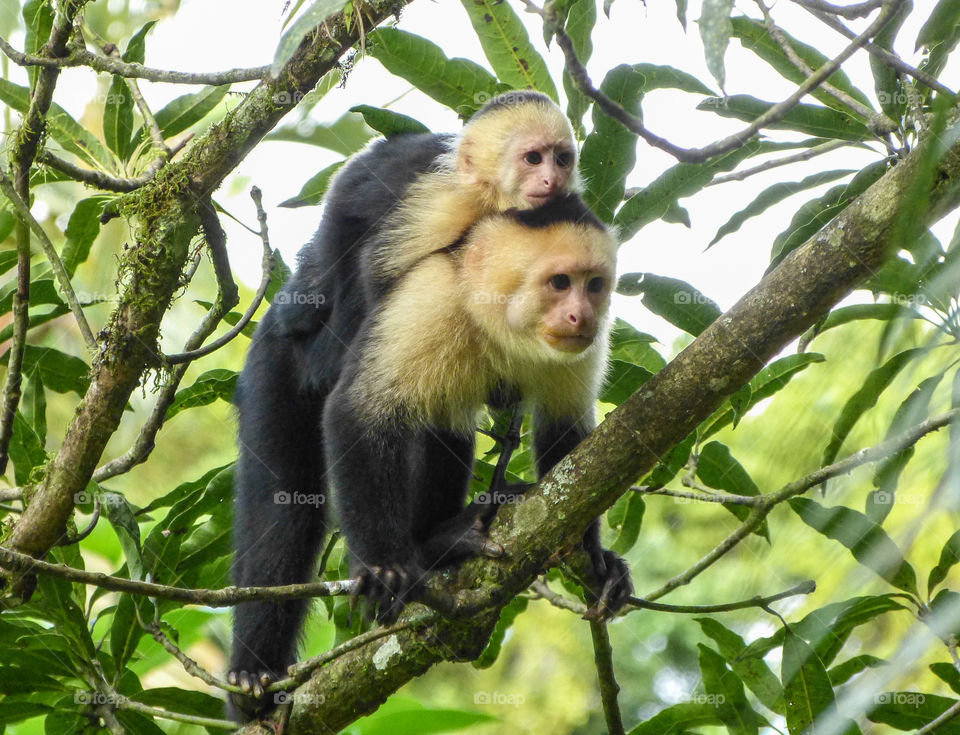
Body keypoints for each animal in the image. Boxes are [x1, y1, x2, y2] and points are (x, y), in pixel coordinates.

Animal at [229, 93, 592, 721]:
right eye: (532, 157)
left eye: (562, 158)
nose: (550, 179)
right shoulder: (436, 208)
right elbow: (380, 285)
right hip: (277, 363)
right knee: (284, 506)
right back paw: (253, 676)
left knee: (442, 418)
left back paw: (441, 539)